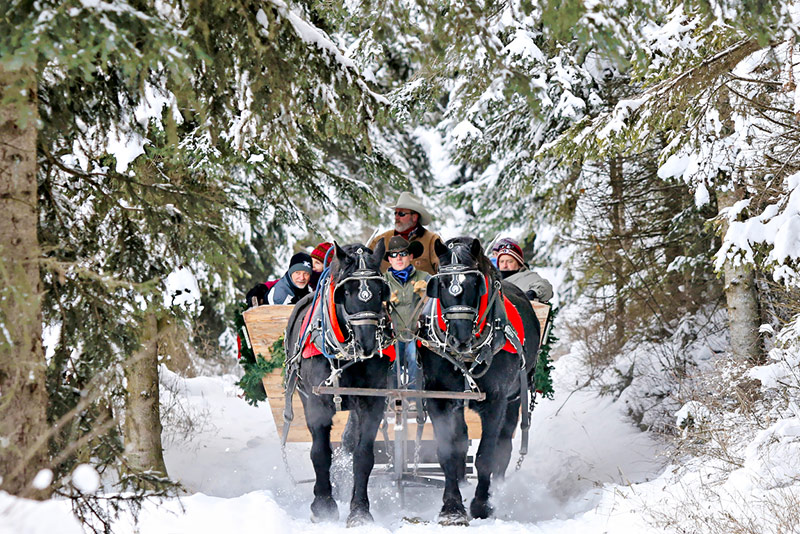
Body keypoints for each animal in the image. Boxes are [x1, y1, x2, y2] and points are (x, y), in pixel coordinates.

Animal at [284, 243, 394, 528]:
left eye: (380, 290)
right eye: (345, 291)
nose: (367, 343)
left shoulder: (371, 401)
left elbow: (363, 455)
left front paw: (360, 511)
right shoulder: (317, 402)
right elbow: (320, 453)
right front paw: (323, 505)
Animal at [416, 237, 540, 524]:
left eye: (476, 284)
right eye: (441, 284)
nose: (459, 338)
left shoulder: (495, 400)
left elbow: (486, 455)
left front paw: (481, 505)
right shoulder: (440, 398)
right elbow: (449, 452)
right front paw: (452, 506)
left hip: (515, 398)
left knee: (504, 446)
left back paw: (499, 489)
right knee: (462, 442)